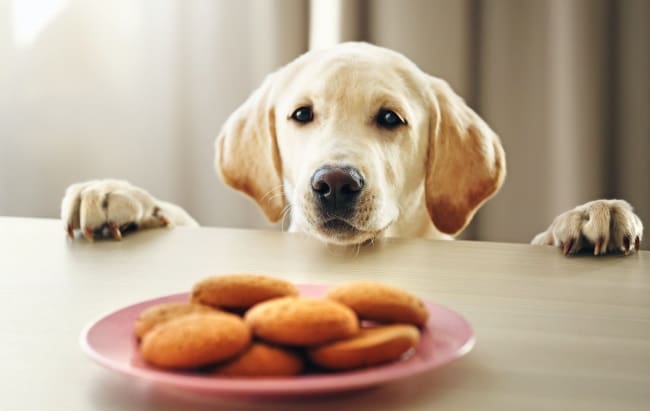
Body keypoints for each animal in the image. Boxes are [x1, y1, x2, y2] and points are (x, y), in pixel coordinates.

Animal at [60, 41, 644, 254]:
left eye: (390, 119)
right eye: (301, 114)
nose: (335, 183)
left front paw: (588, 214)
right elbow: (178, 217)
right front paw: (119, 196)